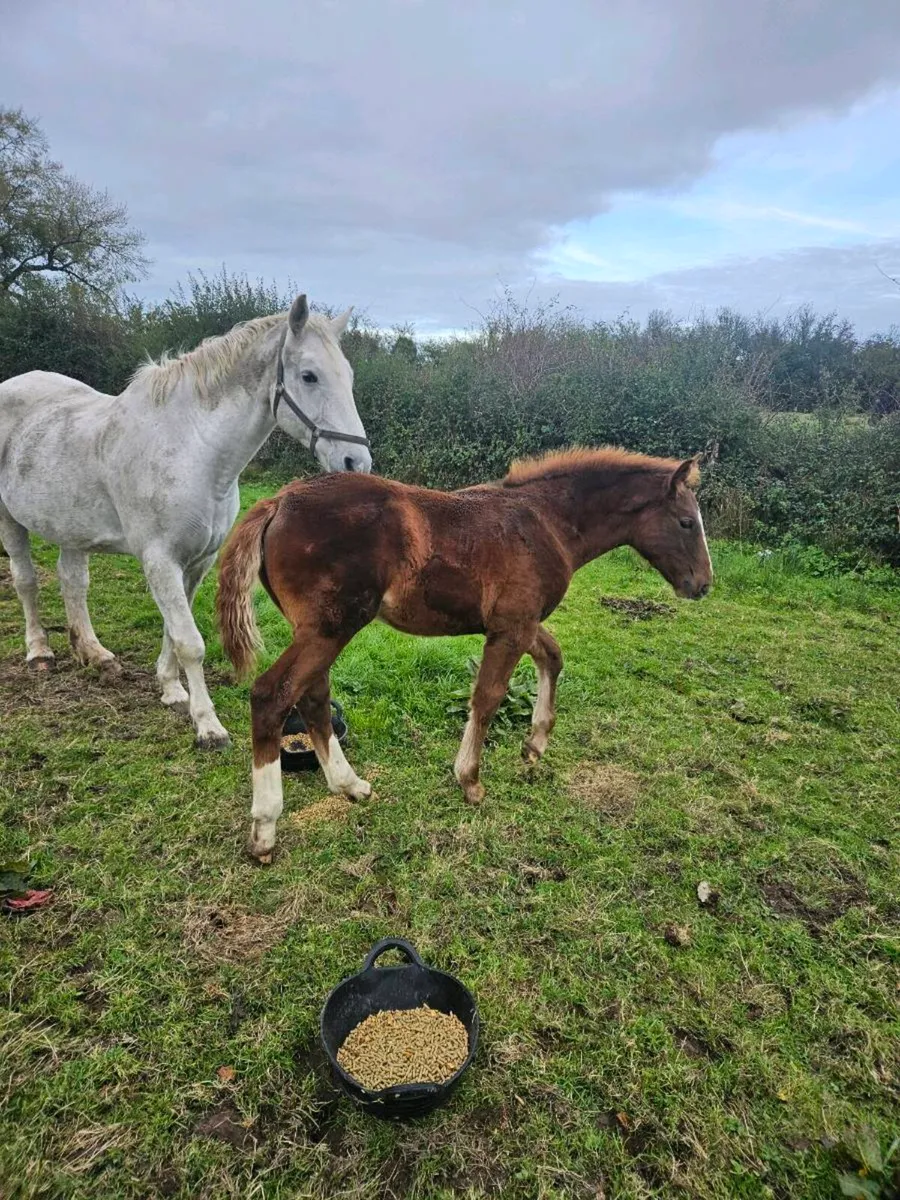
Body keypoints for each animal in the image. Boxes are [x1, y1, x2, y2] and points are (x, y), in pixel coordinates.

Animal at [0, 294, 370, 748]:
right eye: (309, 376)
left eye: (348, 377)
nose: (356, 462)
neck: (192, 448)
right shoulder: (160, 560)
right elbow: (190, 641)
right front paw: (208, 725)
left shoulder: (197, 560)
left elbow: (172, 630)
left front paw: (172, 689)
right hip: (11, 520)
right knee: (26, 581)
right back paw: (39, 652)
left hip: (72, 528)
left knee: (73, 583)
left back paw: (94, 654)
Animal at [216, 446, 713, 860]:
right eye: (687, 522)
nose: (703, 585)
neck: (545, 521)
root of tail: (278, 501)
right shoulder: (512, 627)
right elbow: (488, 696)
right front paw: (470, 781)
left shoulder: (518, 622)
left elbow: (552, 657)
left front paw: (534, 745)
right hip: (330, 628)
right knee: (272, 696)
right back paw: (265, 831)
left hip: (315, 630)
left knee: (313, 698)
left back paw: (351, 786)